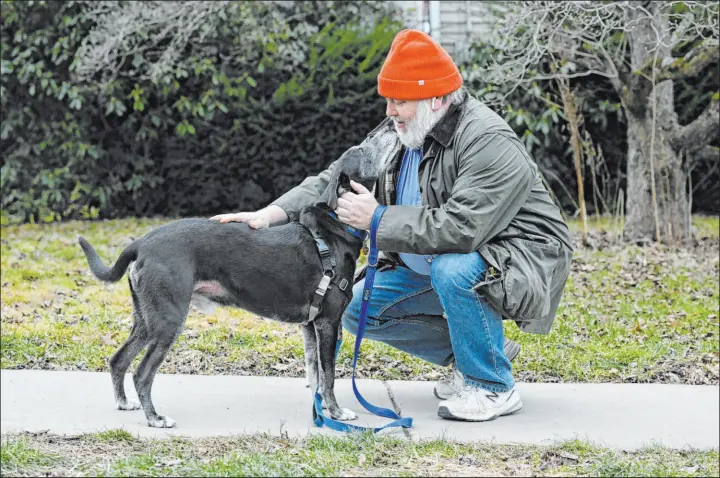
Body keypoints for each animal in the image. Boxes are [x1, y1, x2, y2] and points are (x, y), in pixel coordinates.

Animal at [79, 128, 400, 430]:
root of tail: (141, 243)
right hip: (168, 319)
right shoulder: (328, 322)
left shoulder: (311, 326)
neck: (334, 230)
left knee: (118, 360)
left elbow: (317, 374)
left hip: (146, 317)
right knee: (142, 373)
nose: (388, 127)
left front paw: (319, 412)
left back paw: (124, 403)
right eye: (363, 149)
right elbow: (330, 374)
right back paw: (155, 418)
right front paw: (335, 413)